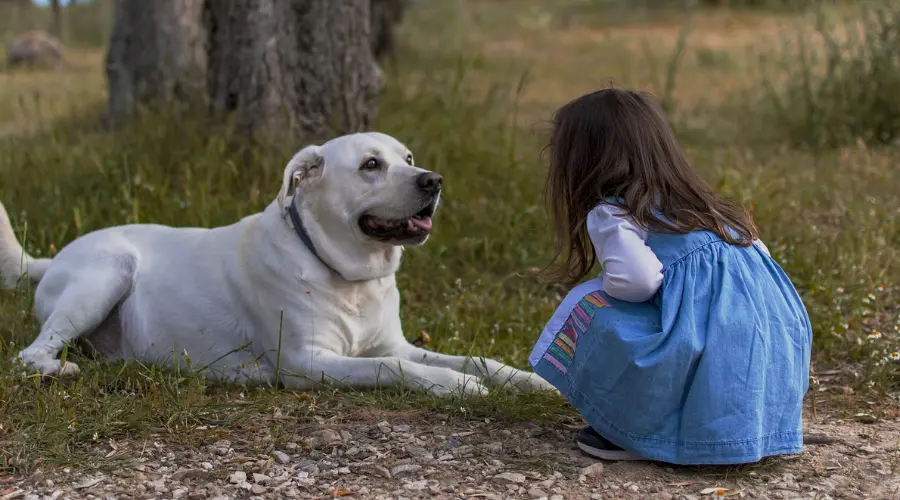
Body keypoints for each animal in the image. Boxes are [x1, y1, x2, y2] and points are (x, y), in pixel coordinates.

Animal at [0, 131, 552, 396]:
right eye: (371, 165)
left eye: (409, 157)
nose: (433, 181)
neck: (349, 277)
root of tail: (53, 257)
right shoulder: (308, 362)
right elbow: (390, 368)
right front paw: (455, 385)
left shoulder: (394, 342)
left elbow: (474, 358)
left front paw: (527, 381)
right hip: (108, 271)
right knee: (30, 353)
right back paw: (58, 370)